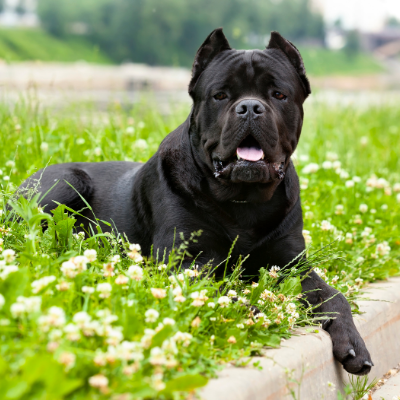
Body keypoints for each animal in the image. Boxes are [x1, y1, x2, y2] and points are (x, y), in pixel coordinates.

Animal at [21, 28, 372, 376]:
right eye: (220, 95)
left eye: (278, 94)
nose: (250, 107)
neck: (243, 200)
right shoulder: (185, 261)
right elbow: (220, 292)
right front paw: (255, 311)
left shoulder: (291, 263)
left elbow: (333, 295)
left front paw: (354, 344)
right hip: (65, 183)